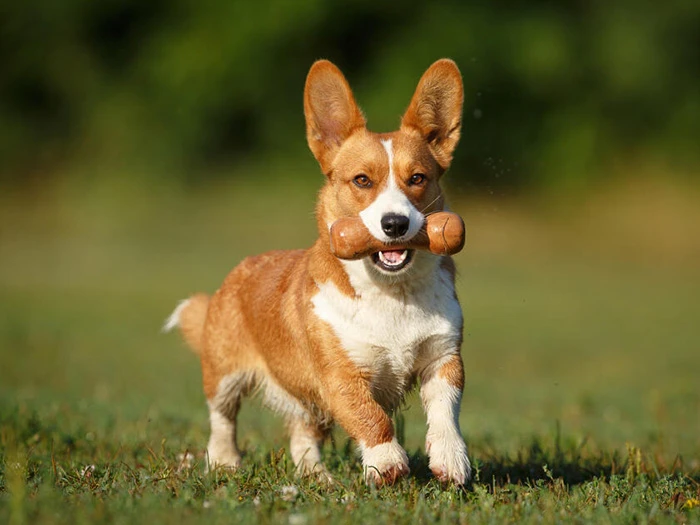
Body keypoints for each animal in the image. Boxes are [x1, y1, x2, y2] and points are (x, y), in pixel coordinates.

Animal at [164, 58, 470, 488]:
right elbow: (371, 417)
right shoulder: (340, 375)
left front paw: (451, 461)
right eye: (362, 180)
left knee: (302, 436)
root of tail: (239, 270)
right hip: (224, 373)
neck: (392, 293)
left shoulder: (443, 359)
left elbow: (446, 413)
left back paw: (318, 477)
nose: (395, 224)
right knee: (222, 418)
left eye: (417, 178)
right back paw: (225, 461)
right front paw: (386, 463)